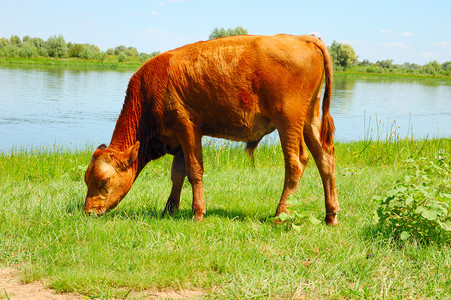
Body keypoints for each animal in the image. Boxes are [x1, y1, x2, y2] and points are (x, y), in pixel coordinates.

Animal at [84, 33, 340, 225]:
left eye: (104, 181)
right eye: (86, 179)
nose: (88, 211)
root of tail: (300, 38)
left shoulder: (187, 127)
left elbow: (194, 171)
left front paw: (198, 213)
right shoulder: (179, 140)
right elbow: (177, 174)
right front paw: (169, 210)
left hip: (288, 122)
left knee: (297, 161)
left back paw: (280, 214)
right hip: (309, 119)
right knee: (324, 158)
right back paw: (331, 216)